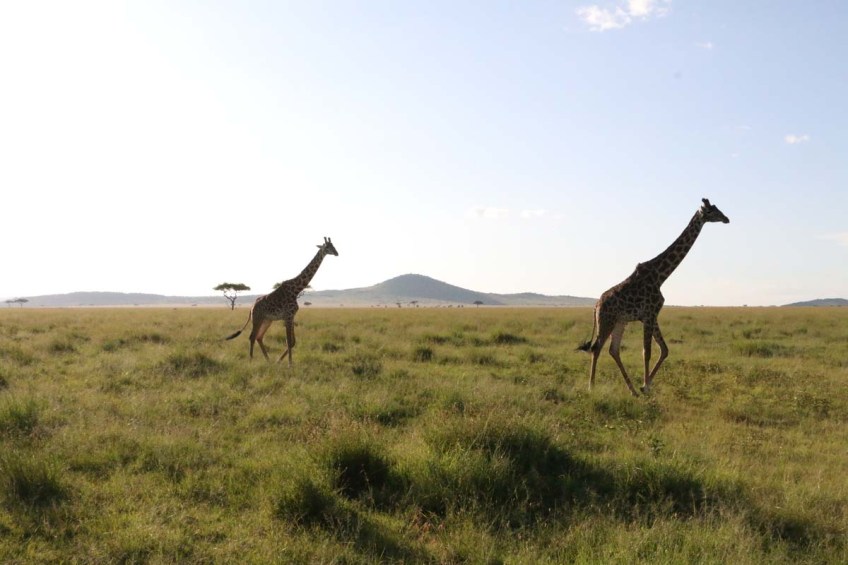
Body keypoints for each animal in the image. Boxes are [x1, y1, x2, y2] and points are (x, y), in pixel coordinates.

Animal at [226, 237, 338, 366]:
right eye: (328, 247)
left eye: (334, 246)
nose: (337, 253)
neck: (297, 290)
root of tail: (251, 307)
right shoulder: (288, 316)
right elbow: (289, 341)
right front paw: (289, 364)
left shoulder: (291, 316)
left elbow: (293, 341)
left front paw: (279, 361)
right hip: (257, 319)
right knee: (252, 336)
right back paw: (251, 360)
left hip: (267, 320)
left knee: (259, 337)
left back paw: (268, 360)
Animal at [577, 199, 729, 396]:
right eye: (711, 211)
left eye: (717, 208)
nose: (726, 218)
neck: (660, 276)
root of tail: (595, 306)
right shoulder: (649, 314)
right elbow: (647, 351)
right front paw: (646, 386)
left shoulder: (652, 316)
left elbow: (664, 349)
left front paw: (645, 386)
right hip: (606, 321)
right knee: (597, 348)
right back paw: (592, 387)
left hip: (620, 322)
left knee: (613, 350)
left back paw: (632, 390)